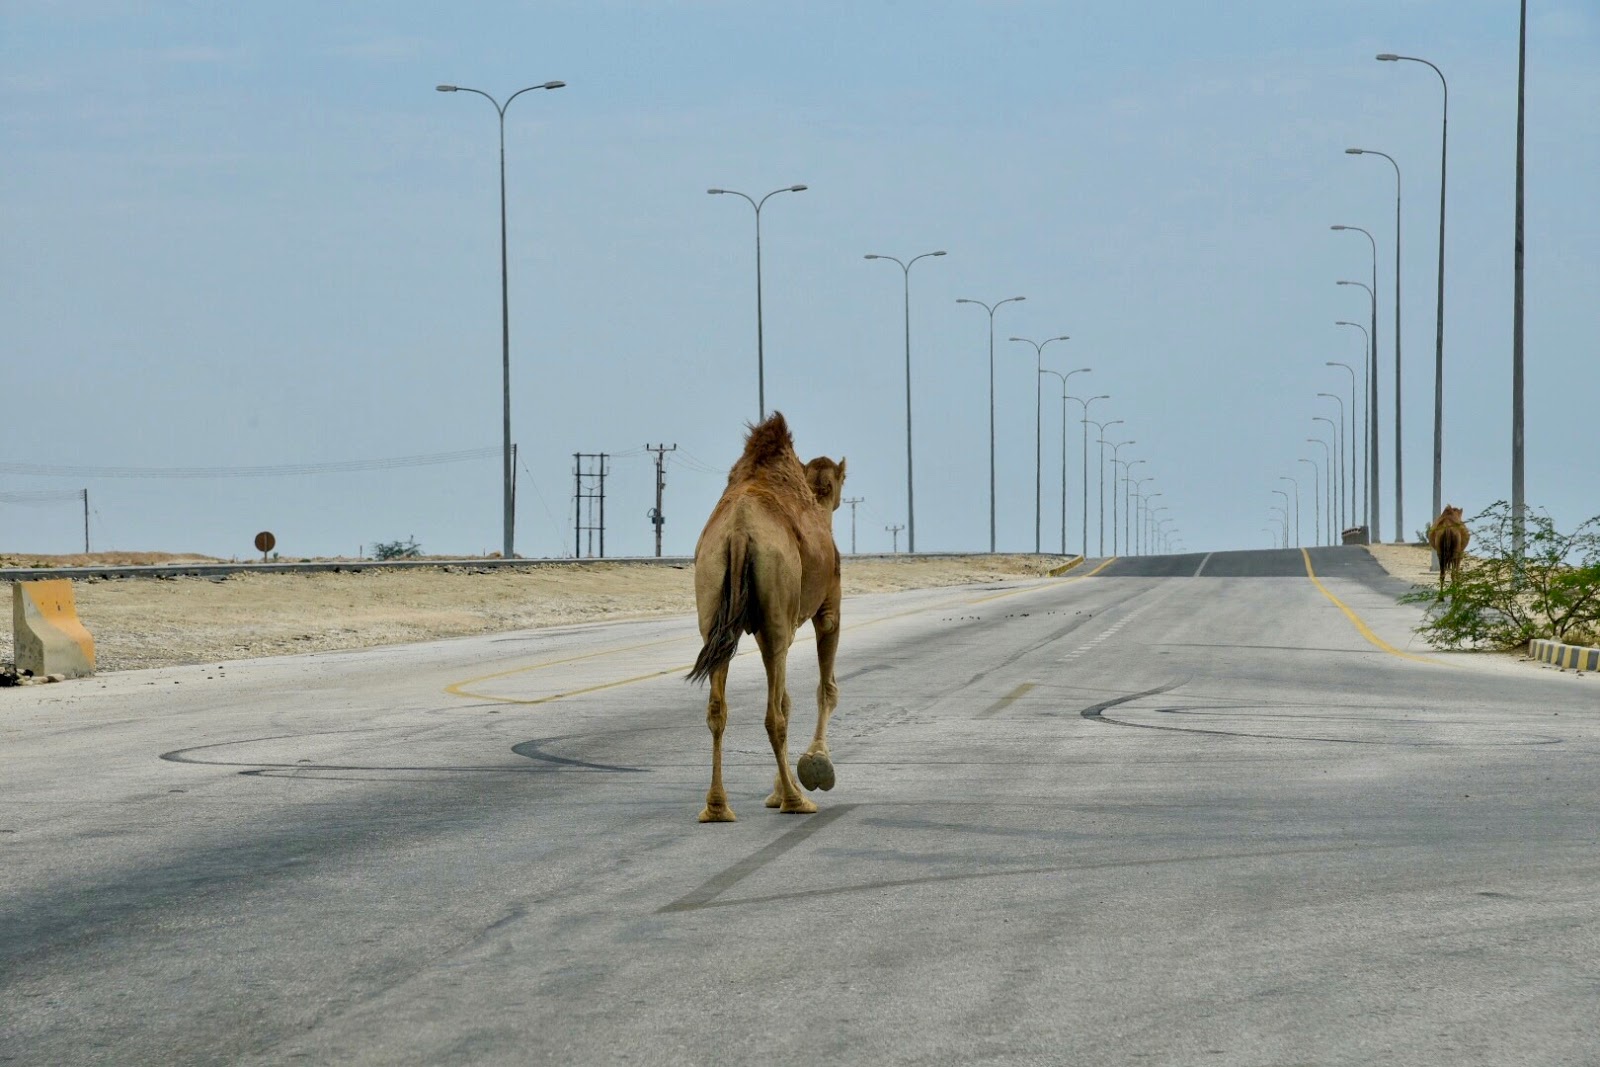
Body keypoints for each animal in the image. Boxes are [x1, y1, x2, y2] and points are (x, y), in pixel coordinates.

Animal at [686, 412, 846, 823]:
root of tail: (739, 533)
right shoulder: (828, 605)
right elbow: (825, 689)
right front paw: (815, 768)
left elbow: (789, 697)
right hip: (775, 613)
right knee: (774, 715)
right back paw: (795, 801)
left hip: (713, 601)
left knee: (718, 708)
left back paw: (717, 808)